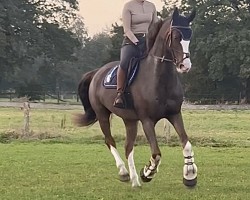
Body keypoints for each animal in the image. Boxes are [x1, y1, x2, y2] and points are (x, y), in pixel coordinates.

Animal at [73, 7, 197, 188]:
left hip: (129, 120)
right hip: (103, 115)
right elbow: (156, 153)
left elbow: (186, 144)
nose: (185, 66)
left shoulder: (174, 114)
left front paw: (190, 175)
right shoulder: (147, 120)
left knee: (128, 147)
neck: (158, 79)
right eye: (176, 37)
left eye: (190, 36)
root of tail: (97, 72)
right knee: (110, 141)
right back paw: (124, 173)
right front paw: (147, 172)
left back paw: (134, 181)